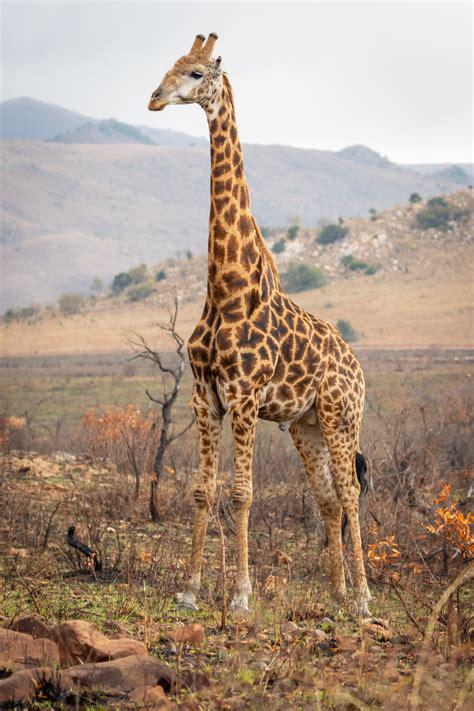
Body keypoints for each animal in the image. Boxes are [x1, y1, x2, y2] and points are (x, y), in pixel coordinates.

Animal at [148, 33, 371, 616]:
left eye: (196, 72)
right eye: (169, 65)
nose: (154, 98)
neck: (226, 288)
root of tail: (359, 368)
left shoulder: (245, 396)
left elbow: (242, 493)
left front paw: (242, 596)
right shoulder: (205, 397)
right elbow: (203, 490)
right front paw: (189, 590)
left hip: (342, 417)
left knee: (350, 493)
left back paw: (364, 599)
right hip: (306, 425)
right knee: (327, 499)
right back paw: (338, 593)